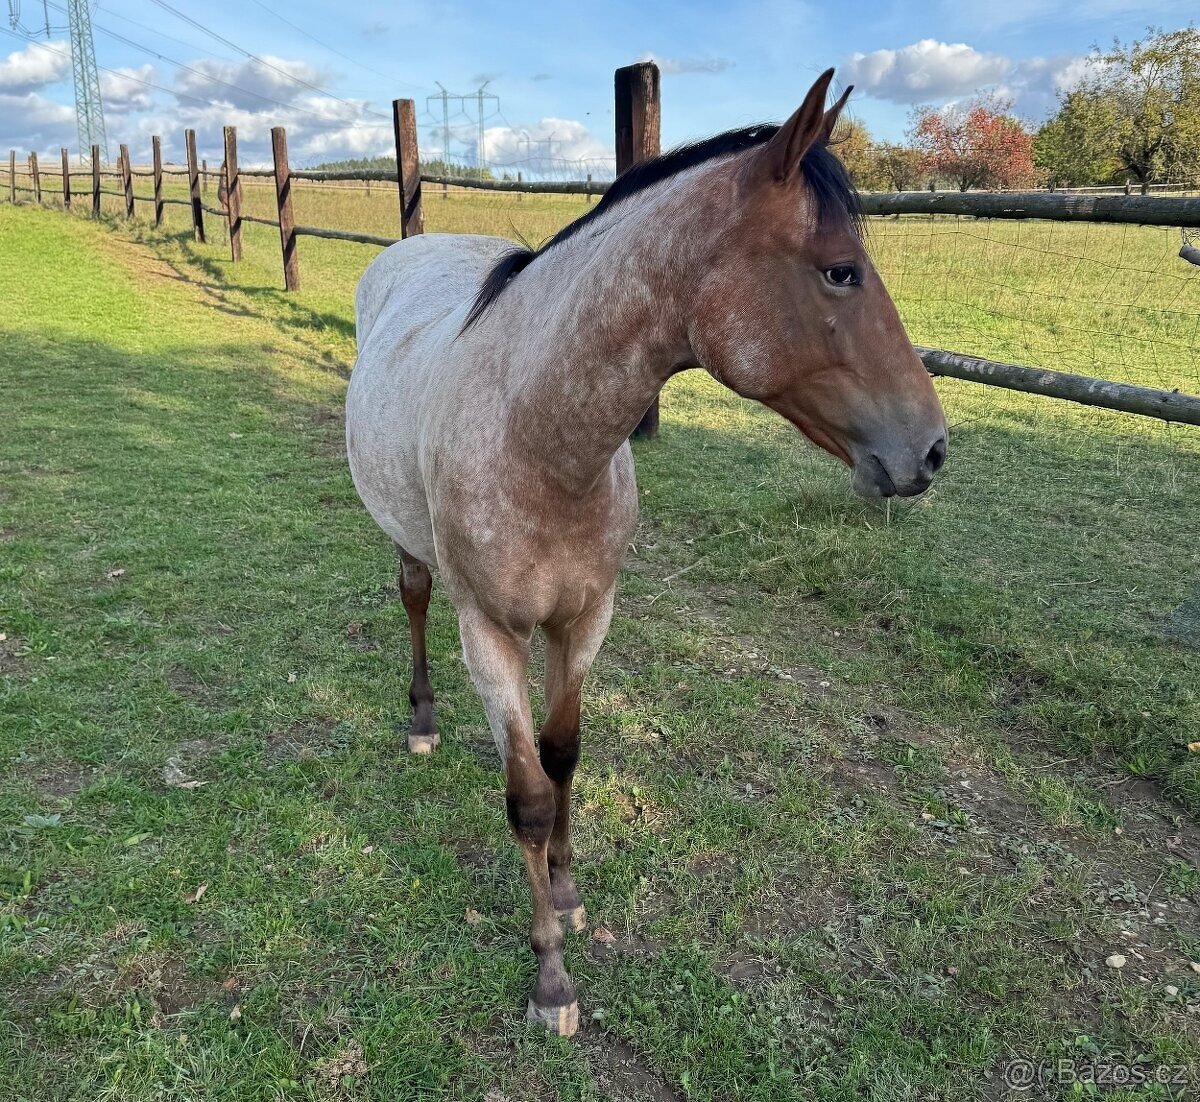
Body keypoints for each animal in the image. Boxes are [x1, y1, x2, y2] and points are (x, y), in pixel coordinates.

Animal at [346, 69, 948, 1036]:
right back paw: (425, 722)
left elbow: (561, 759)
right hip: (407, 545)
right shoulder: (491, 634)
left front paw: (568, 891)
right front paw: (551, 978)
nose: (931, 451)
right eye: (840, 271)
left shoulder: (587, 618)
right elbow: (526, 800)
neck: (535, 437)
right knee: (412, 594)